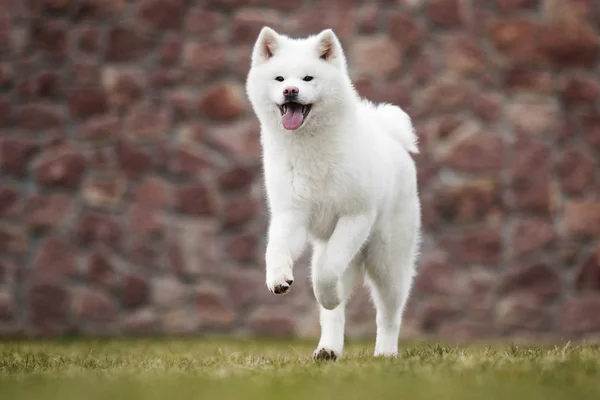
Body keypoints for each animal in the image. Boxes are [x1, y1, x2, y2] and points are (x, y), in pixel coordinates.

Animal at [245, 27, 422, 360]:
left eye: (307, 78)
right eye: (279, 78)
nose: (290, 90)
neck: (310, 148)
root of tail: (392, 138)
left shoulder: (355, 216)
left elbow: (327, 273)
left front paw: (329, 293)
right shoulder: (292, 215)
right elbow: (276, 249)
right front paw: (277, 277)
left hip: (388, 262)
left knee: (388, 315)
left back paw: (385, 353)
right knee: (333, 315)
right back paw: (328, 349)